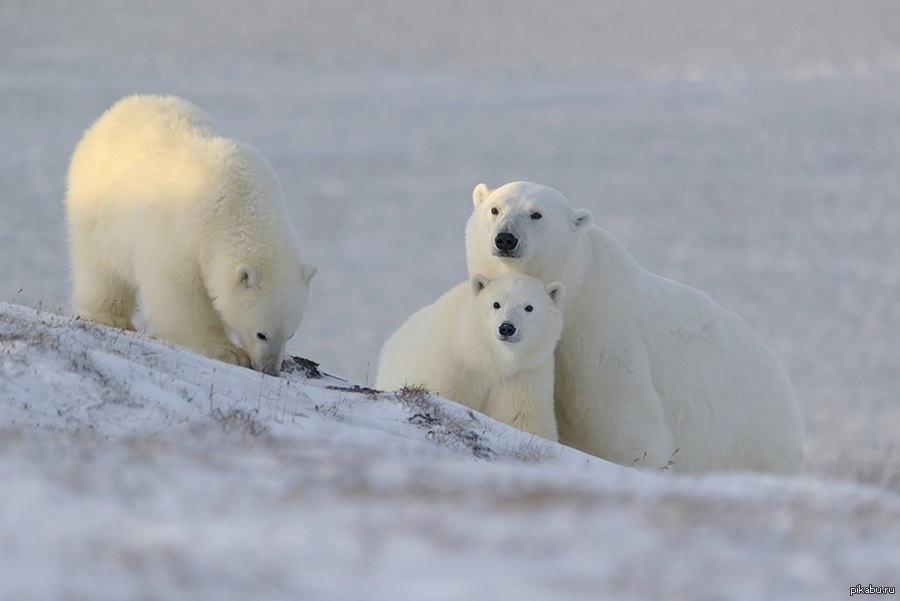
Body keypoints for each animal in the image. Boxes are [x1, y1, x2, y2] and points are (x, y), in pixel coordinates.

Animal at [64, 94, 316, 376]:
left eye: (290, 334)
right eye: (261, 334)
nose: (269, 370)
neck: (238, 202)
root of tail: (117, 110)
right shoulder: (181, 228)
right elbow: (179, 291)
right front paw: (228, 352)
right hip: (96, 203)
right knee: (100, 265)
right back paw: (110, 316)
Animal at [378, 274, 564, 440]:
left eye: (529, 307)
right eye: (496, 304)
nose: (507, 328)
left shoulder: (524, 377)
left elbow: (522, 418)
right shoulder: (451, 367)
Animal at [468, 180, 804, 472]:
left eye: (536, 214)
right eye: (495, 209)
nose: (506, 238)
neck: (576, 288)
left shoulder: (602, 327)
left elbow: (618, 409)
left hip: (751, 432)